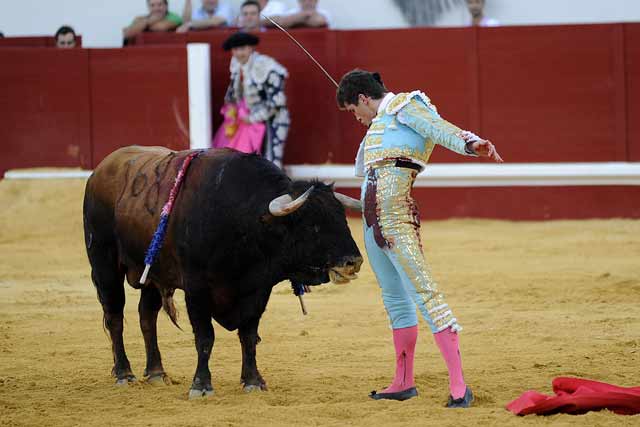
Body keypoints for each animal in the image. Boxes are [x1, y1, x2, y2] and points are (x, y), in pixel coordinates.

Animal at [84, 146, 364, 398]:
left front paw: (253, 381)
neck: (241, 219)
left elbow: (249, 335)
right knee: (115, 316)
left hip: (153, 273)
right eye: (312, 226)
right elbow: (205, 336)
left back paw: (156, 373)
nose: (354, 262)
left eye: (342, 219)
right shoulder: (196, 289)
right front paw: (201, 385)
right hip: (104, 262)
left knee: (146, 315)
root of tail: (99, 170)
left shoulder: (257, 289)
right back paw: (124, 374)